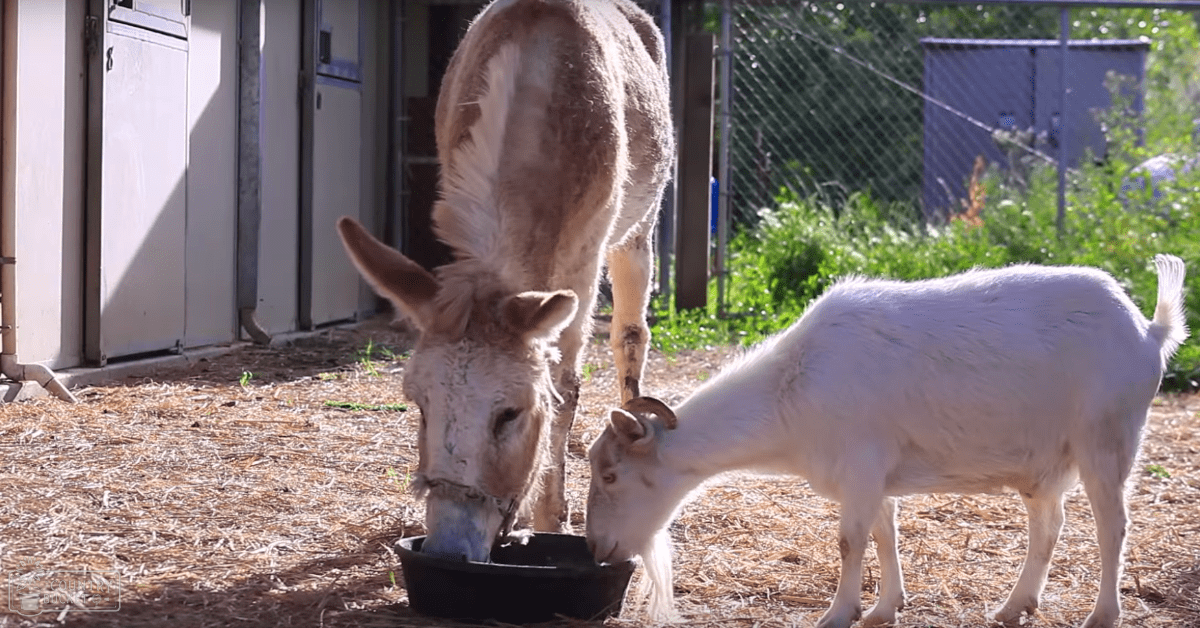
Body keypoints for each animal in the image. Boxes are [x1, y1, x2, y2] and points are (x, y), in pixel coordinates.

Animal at [586, 256, 1189, 628]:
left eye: (611, 474)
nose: (597, 549)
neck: (793, 386)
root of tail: (1149, 332)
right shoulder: (875, 476)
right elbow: (884, 535)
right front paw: (883, 609)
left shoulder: (861, 464)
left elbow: (850, 541)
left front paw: (838, 613)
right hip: (1045, 464)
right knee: (1049, 526)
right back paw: (1013, 607)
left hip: (1106, 439)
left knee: (1113, 526)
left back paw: (1101, 614)